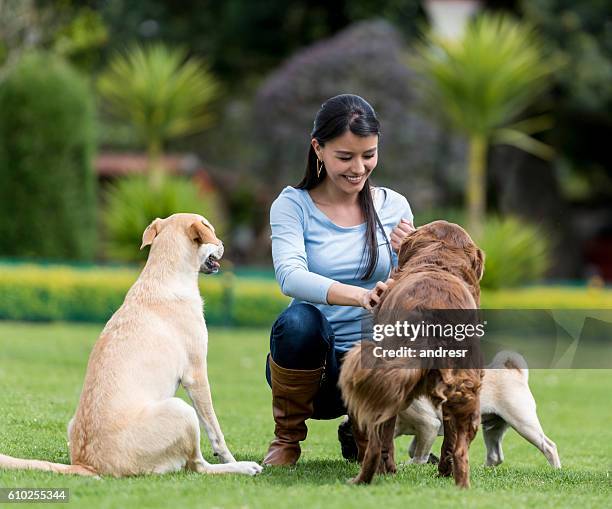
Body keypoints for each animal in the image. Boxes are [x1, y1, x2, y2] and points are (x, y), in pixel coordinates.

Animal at [0, 213, 262, 476]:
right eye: (211, 230)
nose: (223, 245)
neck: (163, 275)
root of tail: (87, 464)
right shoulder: (196, 374)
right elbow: (215, 430)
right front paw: (229, 457)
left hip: (72, 423)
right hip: (181, 410)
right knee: (197, 466)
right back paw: (243, 467)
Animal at [338, 219, 486, 488]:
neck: (439, 265)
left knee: (376, 446)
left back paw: (363, 479)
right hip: (464, 388)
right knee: (459, 449)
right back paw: (459, 485)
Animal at [394, 352, 560, 466]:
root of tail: (513, 372)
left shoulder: (429, 425)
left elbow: (418, 455)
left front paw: (410, 465)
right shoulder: (426, 430)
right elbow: (414, 449)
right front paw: (432, 459)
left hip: (523, 423)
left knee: (548, 447)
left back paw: (556, 471)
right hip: (493, 428)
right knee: (495, 456)